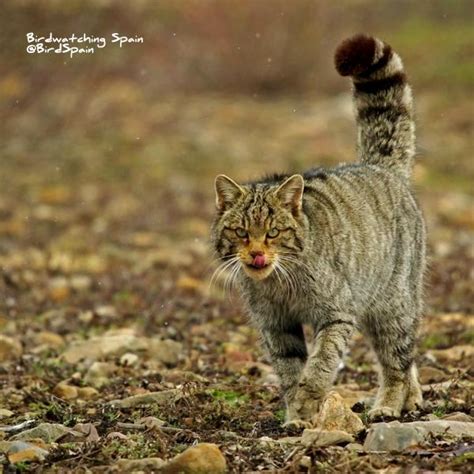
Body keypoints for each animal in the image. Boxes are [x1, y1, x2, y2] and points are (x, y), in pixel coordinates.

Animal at [209, 34, 424, 426]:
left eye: (274, 232)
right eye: (241, 232)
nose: (257, 254)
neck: (280, 284)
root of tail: (380, 166)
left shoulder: (337, 313)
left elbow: (321, 363)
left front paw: (309, 402)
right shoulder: (276, 325)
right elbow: (290, 370)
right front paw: (297, 414)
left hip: (393, 304)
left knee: (396, 361)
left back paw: (389, 405)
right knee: (406, 357)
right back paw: (411, 399)